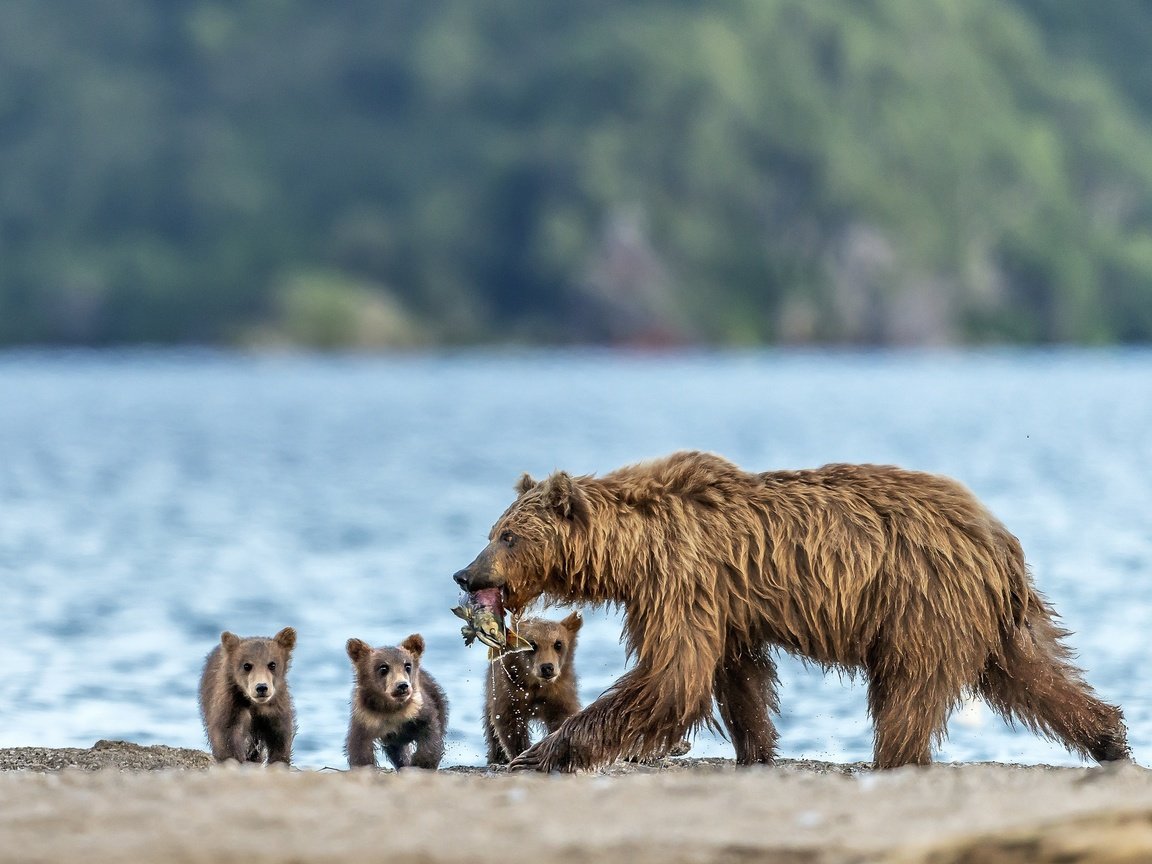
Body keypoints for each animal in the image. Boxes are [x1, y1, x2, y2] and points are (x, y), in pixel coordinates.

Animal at [198, 631, 297, 764]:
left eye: (272, 664)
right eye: (247, 665)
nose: (261, 687)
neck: (255, 704)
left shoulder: (275, 710)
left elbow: (280, 738)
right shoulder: (232, 707)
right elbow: (227, 737)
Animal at [343, 631, 446, 769]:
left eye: (407, 665)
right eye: (383, 668)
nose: (402, 685)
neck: (391, 709)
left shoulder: (418, 710)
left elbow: (430, 732)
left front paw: (422, 762)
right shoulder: (365, 717)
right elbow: (359, 747)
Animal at [481, 608, 580, 764]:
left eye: (558, 644)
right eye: (533, 644)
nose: (547, 667)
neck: (535, 684)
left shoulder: (558, 692)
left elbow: (562, 716)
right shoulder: (510, 690)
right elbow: (509, 724)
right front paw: (521, 753)